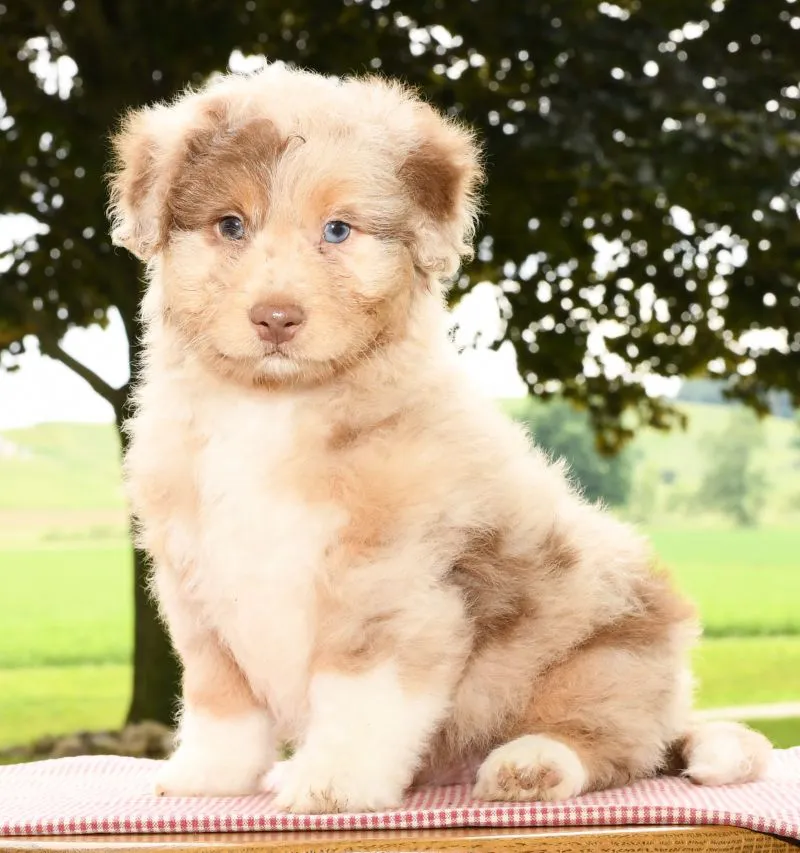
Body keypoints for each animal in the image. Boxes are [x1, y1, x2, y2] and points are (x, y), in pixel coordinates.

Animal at [109, 65, 772, 812]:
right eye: (230, 225)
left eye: (338, 229)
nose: (276, 317)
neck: (272, 407)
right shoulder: (199, 591)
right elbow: (220, 699)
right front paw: (209, 776)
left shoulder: (389, 589)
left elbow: (359, 698)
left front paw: (332, 782)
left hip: (609, 656)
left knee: (611, 744)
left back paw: (531, 764)